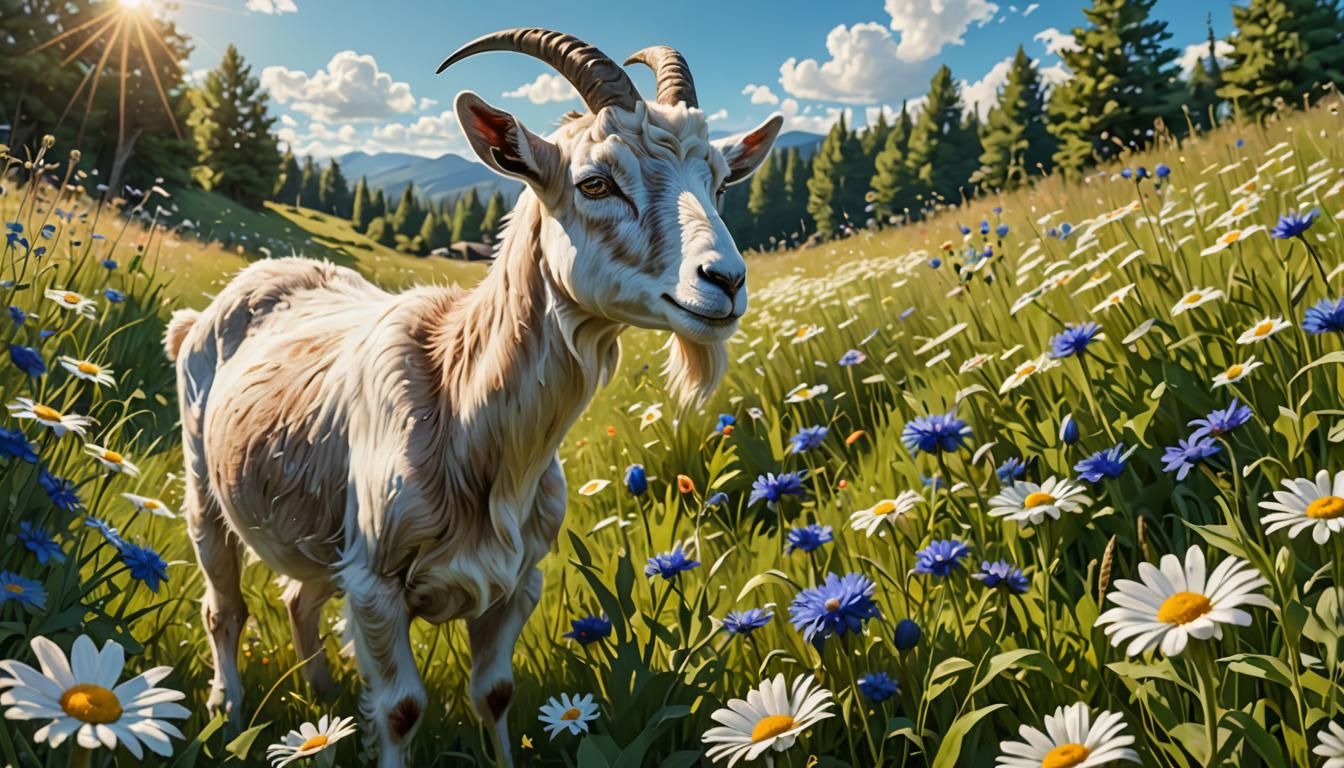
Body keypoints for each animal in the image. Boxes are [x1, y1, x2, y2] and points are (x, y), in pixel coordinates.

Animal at [165, 28, 779, 767]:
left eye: (718, 181)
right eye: (596, 182)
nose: (726, 281)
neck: (461, 404)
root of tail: (205, 313)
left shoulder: (518, 581)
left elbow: (495, 694)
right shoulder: (375, 584)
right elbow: (400, 709)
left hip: (310, 526)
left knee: (297, 598)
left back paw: (321, 705)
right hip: (204, 488)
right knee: (223, 607)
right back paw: (226, 714)